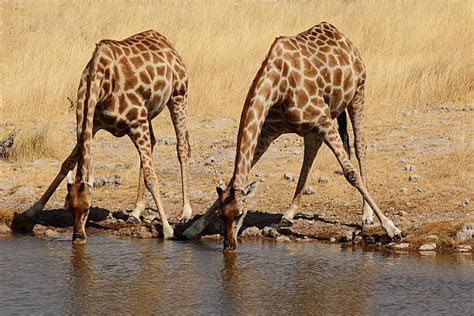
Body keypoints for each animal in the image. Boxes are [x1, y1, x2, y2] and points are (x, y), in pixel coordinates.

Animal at [19, 30, 191, 242]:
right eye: (69, 207)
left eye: (88, 208)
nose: (78, 237)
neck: (100, 84)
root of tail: (166, 41)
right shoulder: (93, 124)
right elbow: (66, 164)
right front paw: (32, 210)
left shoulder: (137, 123)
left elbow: (152, 178)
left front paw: (167, 229)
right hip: (149, 113)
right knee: (152, 143)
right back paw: (135, 212)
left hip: (178, 95)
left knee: (181, 147)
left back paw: (185, 211)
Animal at [183, 22, 402, 252]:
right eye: (222, 215)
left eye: (241, 214)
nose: (229, 246)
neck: (277, 86)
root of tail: (341, 35)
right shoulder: (268, 132)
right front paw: (193, 229)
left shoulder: (324, 120)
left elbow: (350, 173)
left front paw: (392, 228)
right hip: (313, 127)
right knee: (311, 152)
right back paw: (288, 214)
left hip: (358, 92)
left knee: (360, 147)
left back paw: (367, 215)